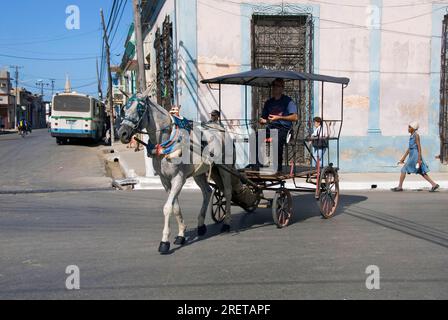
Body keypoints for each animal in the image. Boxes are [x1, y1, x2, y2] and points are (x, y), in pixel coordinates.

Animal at [115, 93, 234, 255]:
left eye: (140, 109)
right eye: (124, 108)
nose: (122, 133)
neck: (166, 142)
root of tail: (220, 128)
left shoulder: (178, 178)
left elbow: (167, 208)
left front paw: (164, 241)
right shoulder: (165, 180)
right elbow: (175, 207)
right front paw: (181, 235)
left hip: (224, 168)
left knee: (227, 192)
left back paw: (226, 224)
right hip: (199, 173)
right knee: (208, 192)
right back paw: (201, 225)